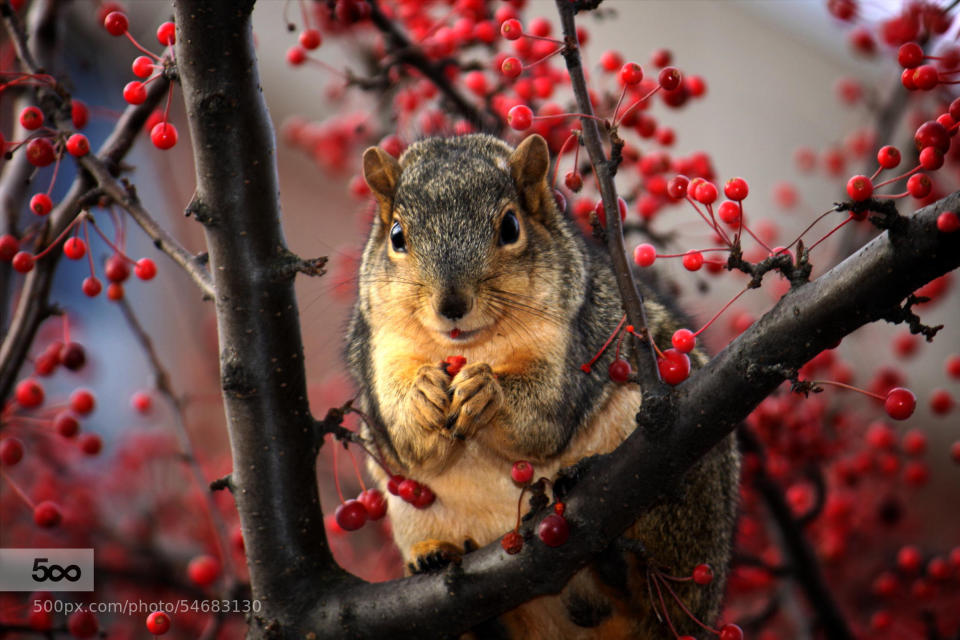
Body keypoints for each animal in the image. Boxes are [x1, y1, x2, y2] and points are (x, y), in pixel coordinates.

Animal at [346, 132, 744, 636]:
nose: (452, 304)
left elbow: (540, 419)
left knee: (657, 590)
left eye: (510, 227)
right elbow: (406, 439)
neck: (473, 347)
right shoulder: (382, 351)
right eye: (397, 236)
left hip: (689, 503)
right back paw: (435, 558)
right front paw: (421, 396)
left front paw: (488, 393)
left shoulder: (570, 343)